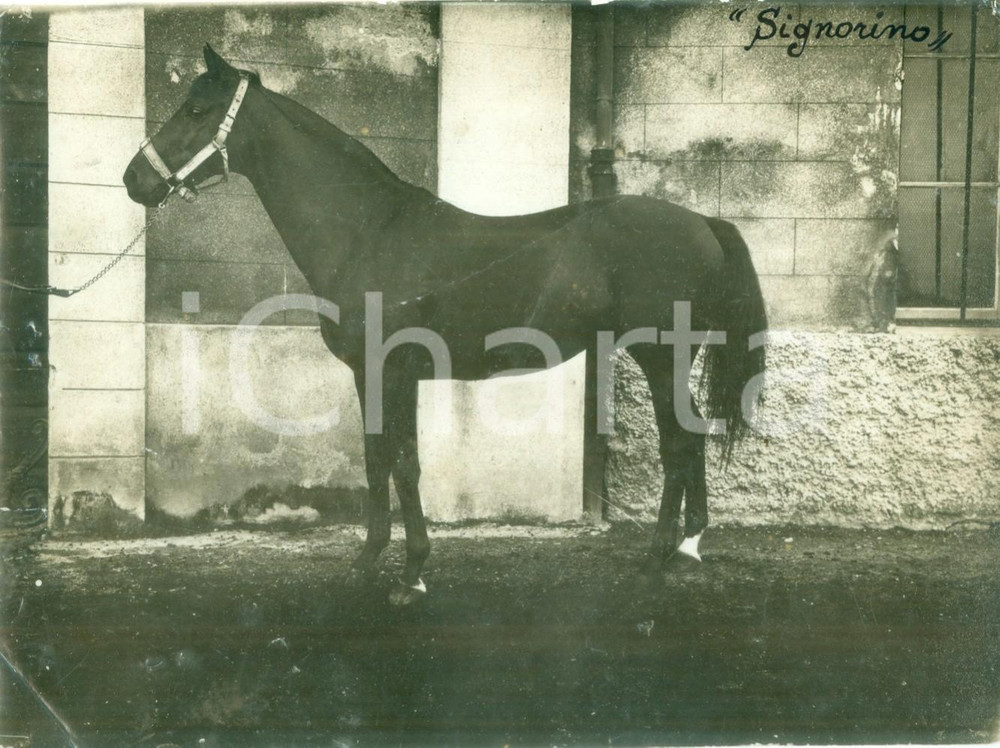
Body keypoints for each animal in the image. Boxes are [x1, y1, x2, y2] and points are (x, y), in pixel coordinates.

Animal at [123, 45, 767, 605]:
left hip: (661, 354)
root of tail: (702, 222)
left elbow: (403, 464)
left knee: (678, 441)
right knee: (691, 436)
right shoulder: (374, 376)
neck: (370, 231)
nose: (134, 180)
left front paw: (410, 575)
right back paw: (687, 549)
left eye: (197, 110)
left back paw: (661, 556)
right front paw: (371, 563)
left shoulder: (392, 371)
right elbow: (380, 459)